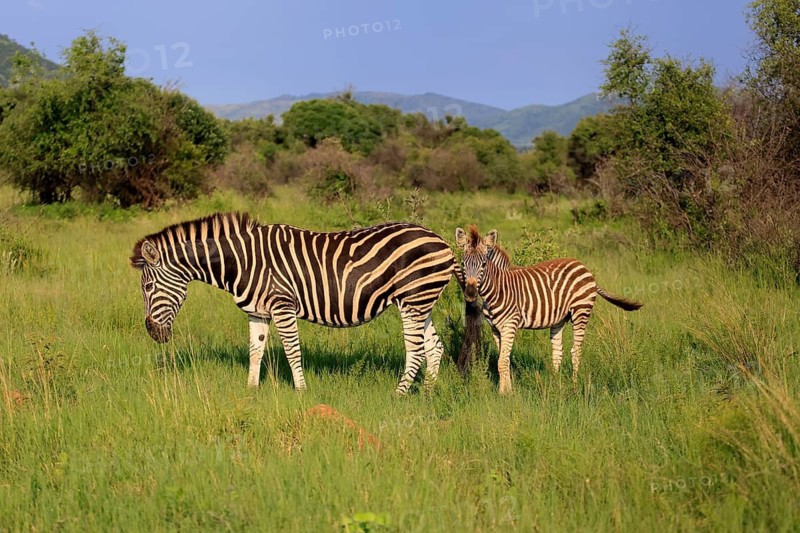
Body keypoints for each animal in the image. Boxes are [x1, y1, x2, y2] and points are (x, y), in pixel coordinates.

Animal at [130, 212, 455, 394]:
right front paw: (251, 391)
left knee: (416, 350)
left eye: (147, 287)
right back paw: (427, 393)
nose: (153, 333)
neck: (242, 261)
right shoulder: (257, 313)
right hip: (421, 302)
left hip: (412, 300)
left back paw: (399, 395)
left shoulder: (282, 305)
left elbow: (292, 351)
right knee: (434, 347)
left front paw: (301, 390)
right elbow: (255, 351)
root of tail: (442, 241)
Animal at [455, 225, 642, 393]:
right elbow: (504, 360)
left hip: (581, 311)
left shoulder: (509, 325)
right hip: (559, 318)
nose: (470, 294)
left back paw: (574, 387)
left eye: (483, 264)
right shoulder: (496, 328)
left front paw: (504, 395)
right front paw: (508, 391)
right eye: (463, 263)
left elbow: (502, 362)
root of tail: (582, 265)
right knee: (557, 352)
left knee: (576, 351)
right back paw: (555, 385)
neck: (498, 288)